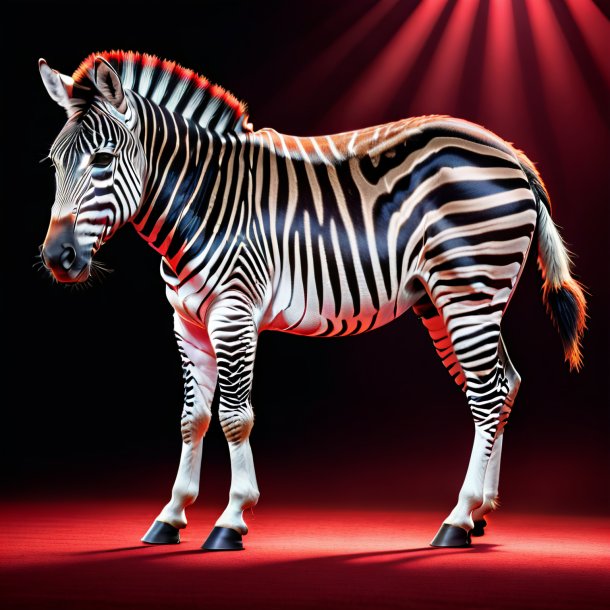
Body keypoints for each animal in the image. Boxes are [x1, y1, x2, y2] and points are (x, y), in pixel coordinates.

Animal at [38, 50, 584, 548]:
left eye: (102, 160)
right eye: (55, 163)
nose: (57, 257)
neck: (202, 201)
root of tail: (509, 150)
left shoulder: (234, 313)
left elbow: (235, 418)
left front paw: (231, 518)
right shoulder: (188, 324)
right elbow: (192, 420)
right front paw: (171, 515)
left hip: (468, 291)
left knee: (488, 396)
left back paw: (457, 519)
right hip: (455, 301)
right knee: (504, 384)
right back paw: (480, 513)